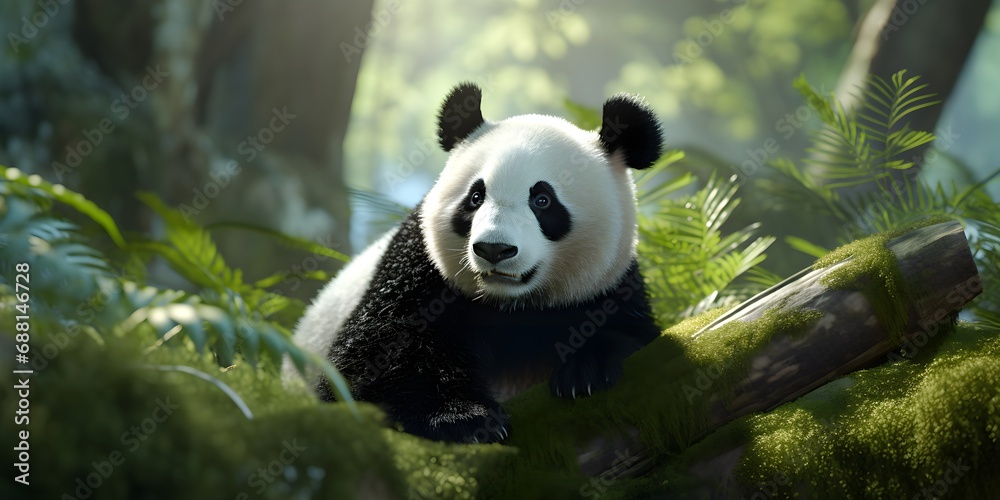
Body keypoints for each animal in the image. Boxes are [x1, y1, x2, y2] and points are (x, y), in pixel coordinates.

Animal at [288, 83, 663, 443]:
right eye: (475, 197)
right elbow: (372, 358)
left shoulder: (608, 283)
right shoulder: (417, 272)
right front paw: (465, 418)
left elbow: (629, 329)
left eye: (542, 200)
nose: (494, 249)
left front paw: (585, 371)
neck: (511, 306)